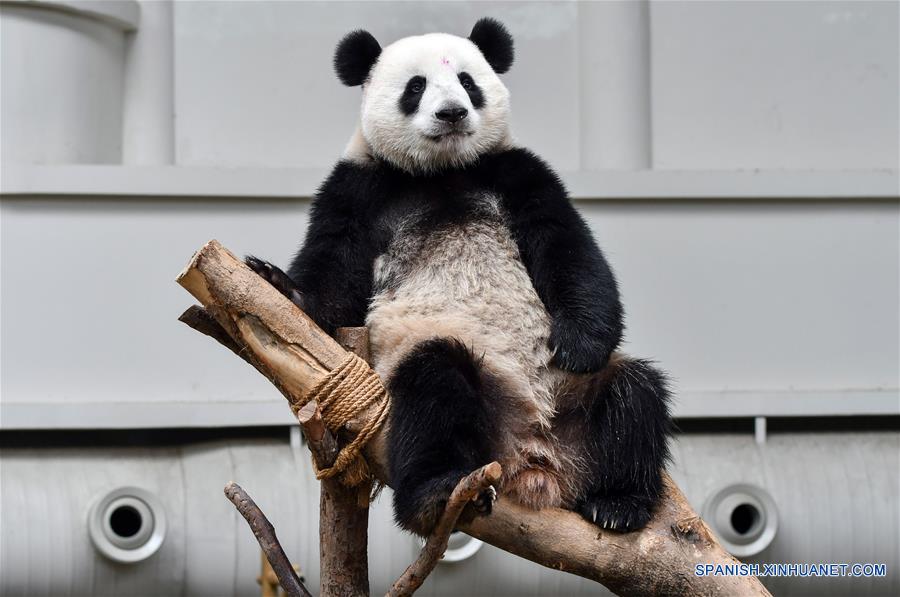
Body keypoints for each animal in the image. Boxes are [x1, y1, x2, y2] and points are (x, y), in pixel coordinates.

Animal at [246, 18, 668, 532]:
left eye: (467, 81)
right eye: (416, 86)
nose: (451, 113)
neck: (440, 171)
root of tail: (533, 462)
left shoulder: (514, 173)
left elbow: (568, 247)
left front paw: (579, 342)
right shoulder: (359, 186)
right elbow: (335, 274)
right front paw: (278, 284)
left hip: (575, 396)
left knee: (634, 395)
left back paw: (617, 503)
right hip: (465, 390)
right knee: (434, 387)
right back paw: (438, 492)